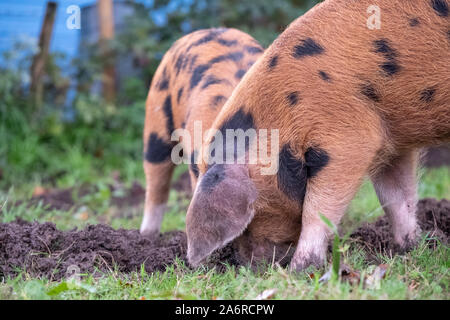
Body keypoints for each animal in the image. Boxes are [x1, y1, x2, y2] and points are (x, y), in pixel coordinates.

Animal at [185, 0, 448, 270]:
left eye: (248, 222)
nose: (251, 267)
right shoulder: (392, 143)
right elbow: (395, 197)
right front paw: (409, 248)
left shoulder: (349, 137)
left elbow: (316, 208)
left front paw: (300, 269)